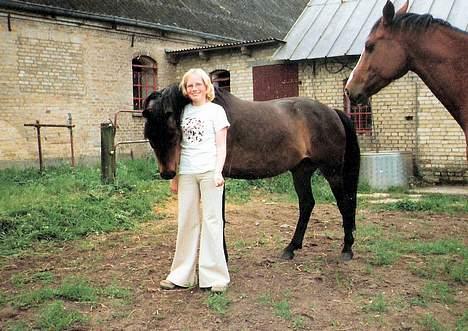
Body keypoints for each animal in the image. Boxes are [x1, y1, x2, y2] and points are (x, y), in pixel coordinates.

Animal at [144, 85, 362, 262]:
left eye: (173, 133)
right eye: (150, 137)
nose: (167, 173)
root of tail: (332, 112)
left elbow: (220, 217)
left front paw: (223, 257)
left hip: (332, 172)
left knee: (344, 204)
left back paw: (347, 249)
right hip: (301, 171)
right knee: (307, 204)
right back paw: (290, 248)